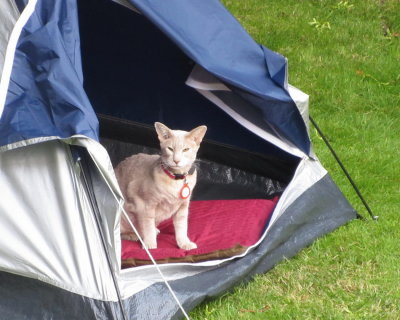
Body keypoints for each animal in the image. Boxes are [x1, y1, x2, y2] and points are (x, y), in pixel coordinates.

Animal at [112, 122, 206, 250]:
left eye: (186, 149)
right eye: (170, 149)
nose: (176, 160)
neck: (175, 180)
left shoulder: (183, 207)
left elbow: (182, 228)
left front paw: (184, 243)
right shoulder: (145, 205)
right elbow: (148, 226)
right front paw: (150, 244)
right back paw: (133, 235)